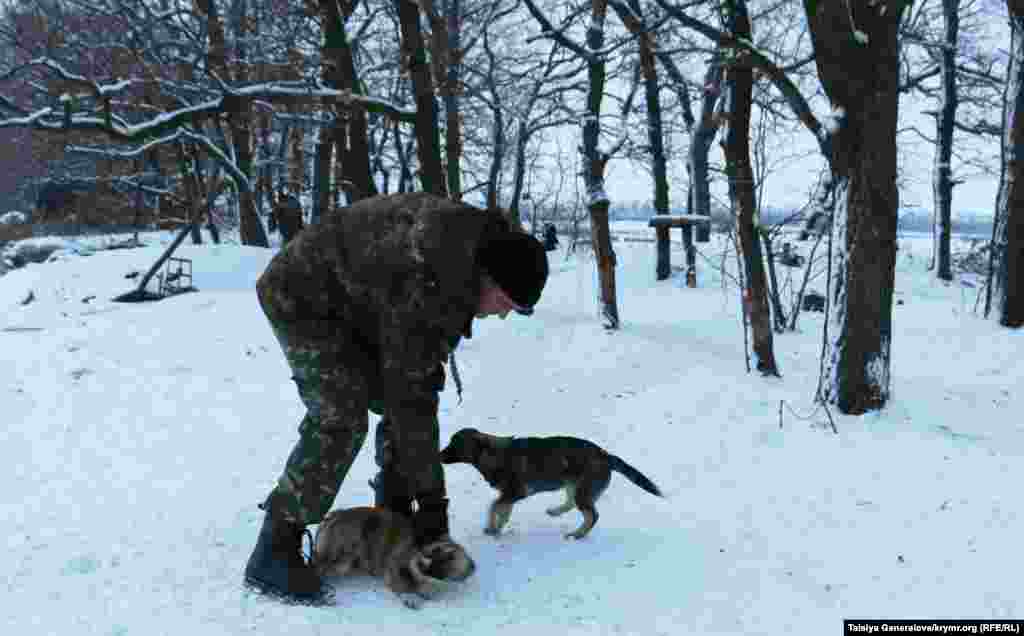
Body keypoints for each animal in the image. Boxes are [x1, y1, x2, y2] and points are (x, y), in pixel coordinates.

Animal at [309, 505, 458, 606]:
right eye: (430, 555)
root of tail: (333, 516)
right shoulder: (395, 565)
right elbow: (402, 585)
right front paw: (410, 597)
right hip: (341, 559)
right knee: (318, 566)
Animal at [440, 428, 663, 536]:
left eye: (454, 444)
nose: (438, 455)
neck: (492, 454)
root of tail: (606, 455)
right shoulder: (509, 495)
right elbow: (501, 510)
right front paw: (497, 527)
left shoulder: (514, 492)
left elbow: (493, 506)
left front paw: (493, 528)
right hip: (574, 485)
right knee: (573, 503)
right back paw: (555, 512)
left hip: (582, 490)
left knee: (592, 515)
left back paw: (577, 534)